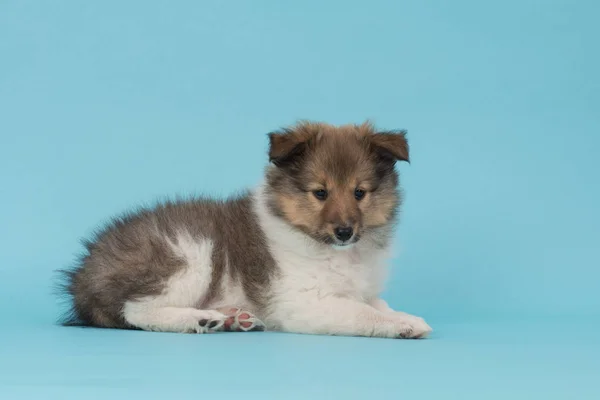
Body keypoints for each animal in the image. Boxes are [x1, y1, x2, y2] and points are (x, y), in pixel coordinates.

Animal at [58, 121, 432, 338]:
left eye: (359, 192)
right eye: (320, 193)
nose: (344, 232)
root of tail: (82, 278)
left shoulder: (360, 289)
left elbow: (377, 304)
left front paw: (408, 317)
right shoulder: (302, 301)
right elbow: (362, 312)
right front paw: (402, 326)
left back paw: (230, 317)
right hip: (186, 255)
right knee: (135, 309)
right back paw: (199, 320)